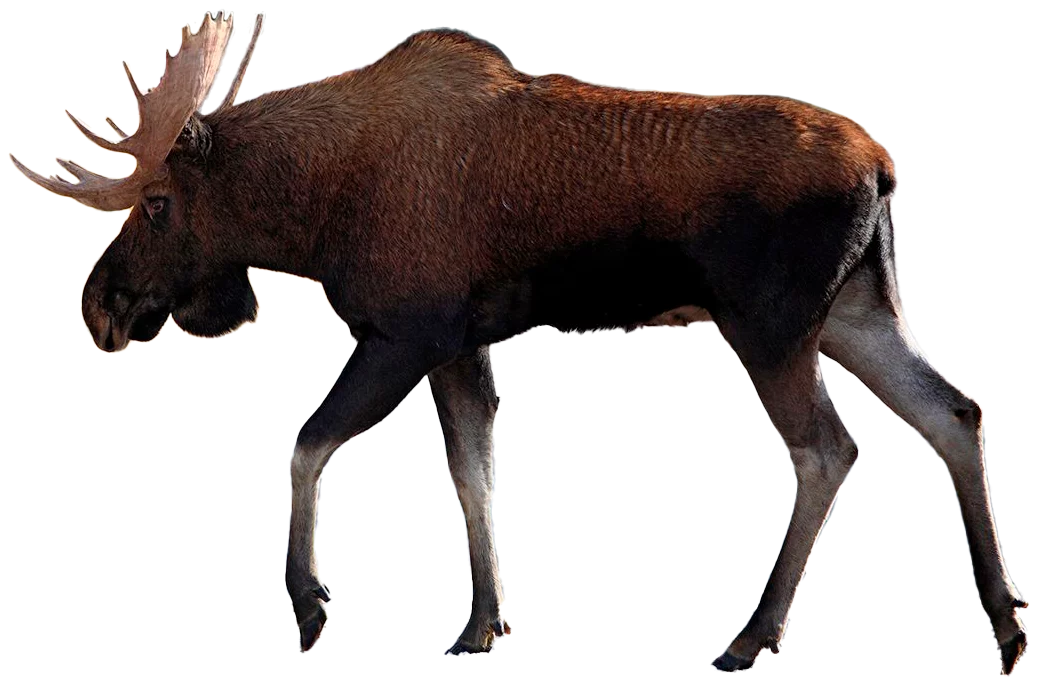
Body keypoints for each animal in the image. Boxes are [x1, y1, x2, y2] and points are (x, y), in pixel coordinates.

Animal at [9, 11, 1029, 675]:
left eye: (156, 202)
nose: (99, 306)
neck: (310, 212)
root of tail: (883, 165)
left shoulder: (402, 331)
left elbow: (307, 444)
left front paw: (309, 602)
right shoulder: (458, 344)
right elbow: (472, 467)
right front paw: (481, 620)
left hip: (769, 324)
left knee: (827, 447)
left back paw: (750, 636)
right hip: (854, 311)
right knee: (953, 410)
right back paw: (1004, 622)